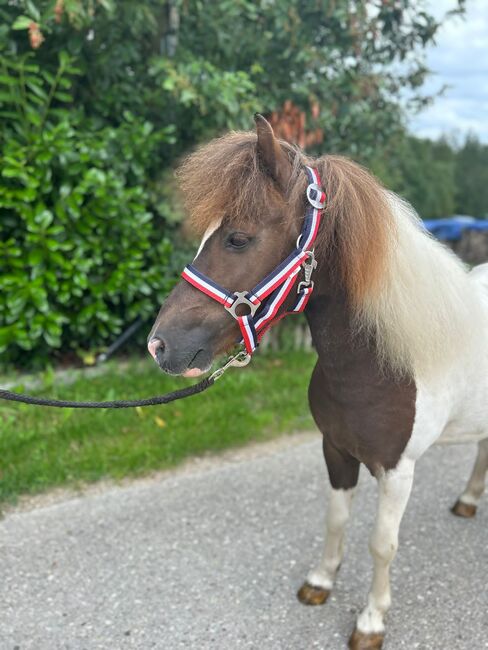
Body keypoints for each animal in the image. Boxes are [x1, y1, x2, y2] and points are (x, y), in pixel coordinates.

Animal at [148, 116, 488, 648]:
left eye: (238, 238)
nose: (160, 345)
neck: (378, 366)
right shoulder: (335, 449)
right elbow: (336, 519)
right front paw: (320, 582)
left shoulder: (398, 470)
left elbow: (382, 544)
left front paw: (371, 620)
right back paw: (469, 502)